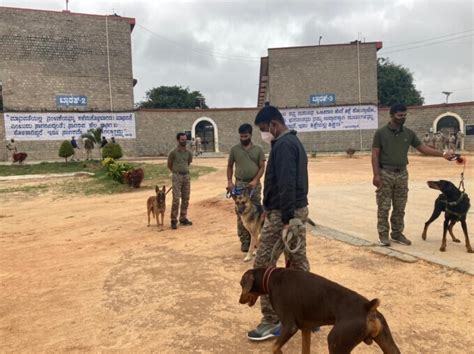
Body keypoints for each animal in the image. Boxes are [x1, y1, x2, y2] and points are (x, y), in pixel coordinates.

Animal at [241, 268, 400, 354]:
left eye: (241, 284)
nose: (240, 300)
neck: (271, 277)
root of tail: (368, 306)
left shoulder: (290, 326)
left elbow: (275, 347)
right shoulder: (306, 328)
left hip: (335, 343)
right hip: (389, 345)